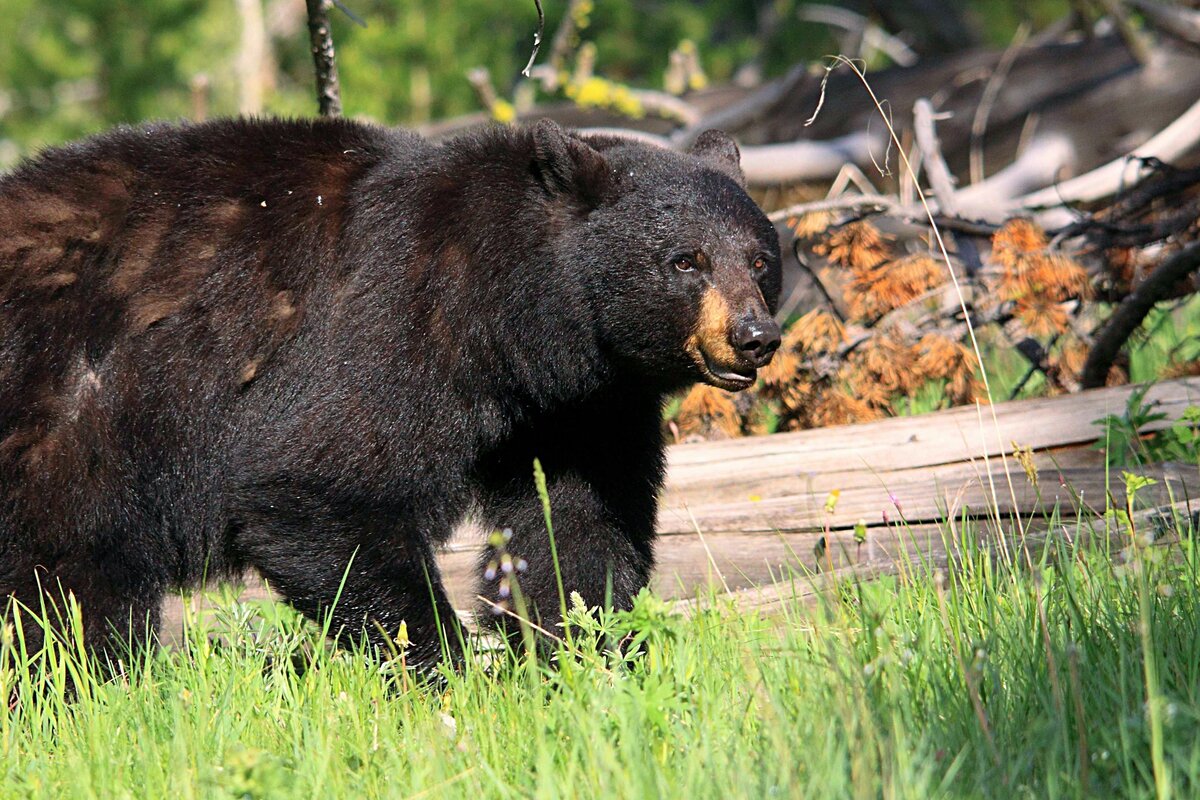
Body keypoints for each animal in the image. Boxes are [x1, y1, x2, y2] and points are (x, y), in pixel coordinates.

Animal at [0, 117, 782, 671]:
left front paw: (586, 658)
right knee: (63, 587)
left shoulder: (581, 404)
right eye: (685, 261)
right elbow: (320, 485)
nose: (755, 336)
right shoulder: (389, 319)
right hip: (68, 413)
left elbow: (577, 520)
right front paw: (447, 670)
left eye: (759, 259)